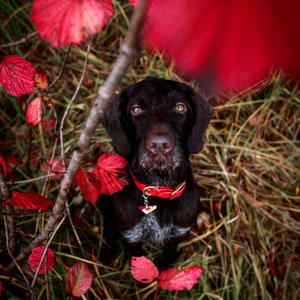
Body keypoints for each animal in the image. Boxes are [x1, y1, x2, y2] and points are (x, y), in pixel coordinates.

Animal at [99, 77, 212, 268]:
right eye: (136, 109)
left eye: (180, 107)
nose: (159, 144)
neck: (159, 191)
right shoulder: (132, 238)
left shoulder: (177, 234)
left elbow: (168, 257)